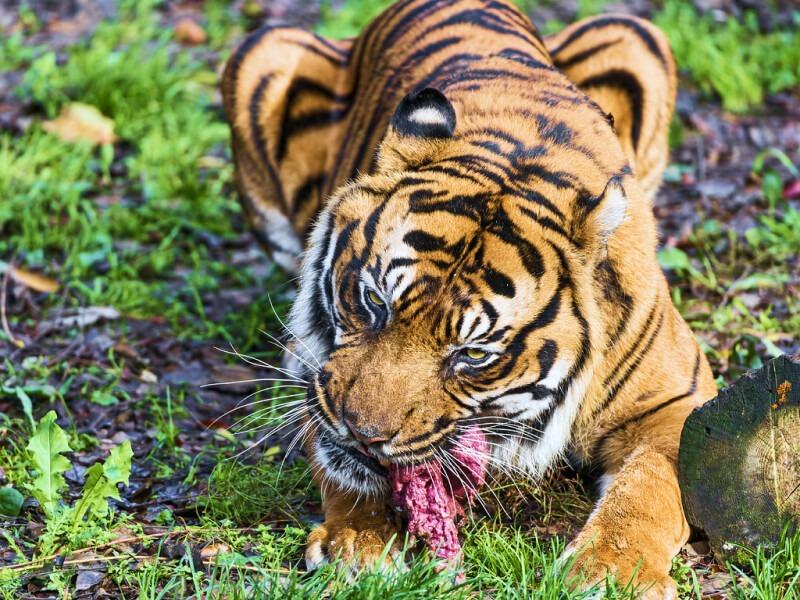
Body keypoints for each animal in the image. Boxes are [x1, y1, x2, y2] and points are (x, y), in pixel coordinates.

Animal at [221, 0, 717, 596]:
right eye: (375, 302)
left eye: (473, 355)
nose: (361, 434)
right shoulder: (320, 375)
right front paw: (359, 542)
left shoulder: (675, 407)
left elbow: (651, 487)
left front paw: (615, 572)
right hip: (264, 52)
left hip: (633, 33)